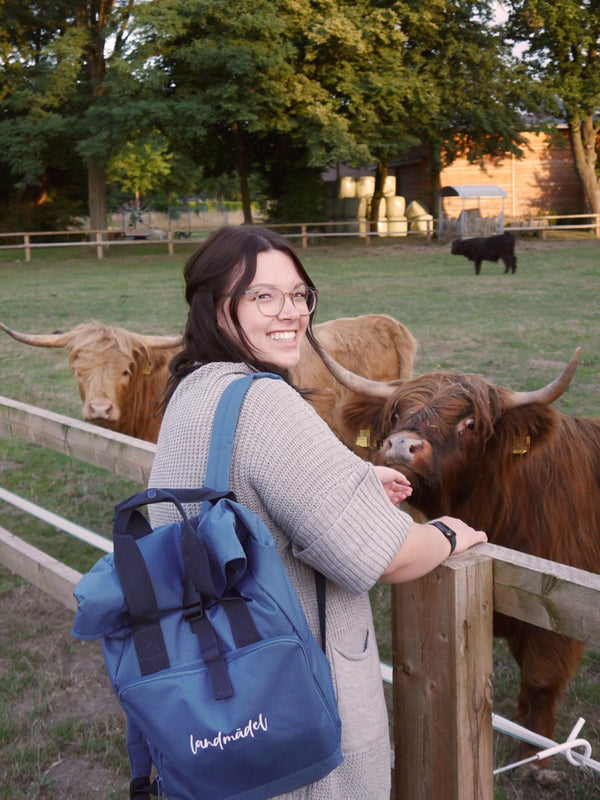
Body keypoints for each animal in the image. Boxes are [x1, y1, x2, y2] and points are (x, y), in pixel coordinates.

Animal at [312, 346, 596, 752]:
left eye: (470, 422)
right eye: (396, 414)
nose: (401, 445)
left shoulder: (555, 611)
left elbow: (540, 681)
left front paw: (536, 754)